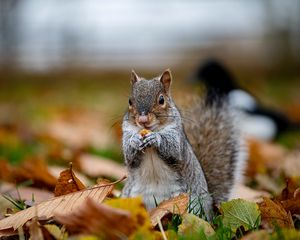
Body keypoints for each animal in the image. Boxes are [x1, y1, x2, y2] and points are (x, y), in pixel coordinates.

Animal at [120, 68, 247, 218]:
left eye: (161, 100)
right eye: (130, 101)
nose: (143, 119)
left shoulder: (177, 137)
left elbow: (173, 149)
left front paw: (155, 138)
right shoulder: (127, 133)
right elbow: (129, 155)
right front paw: (134, 141)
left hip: (189, 203)